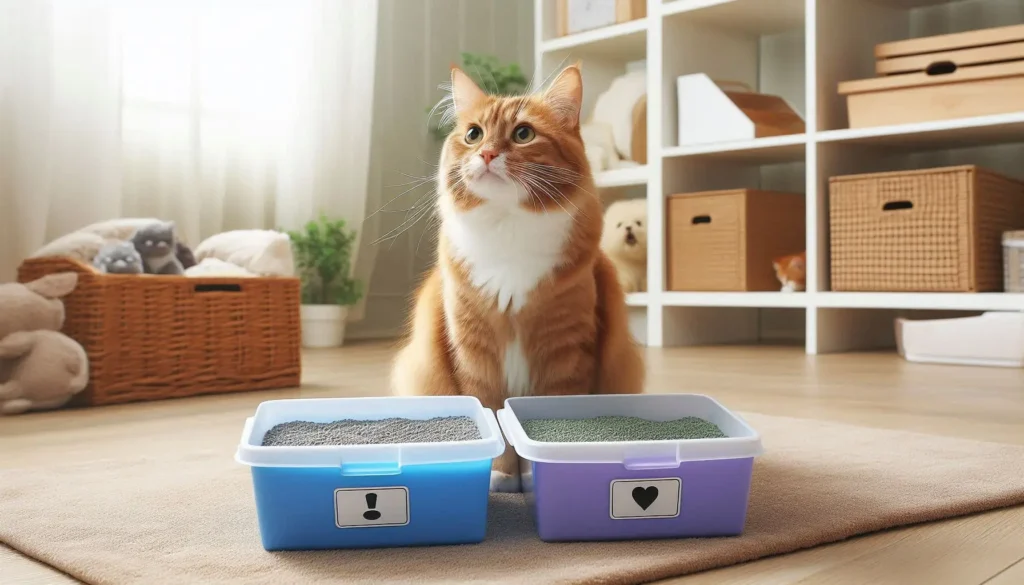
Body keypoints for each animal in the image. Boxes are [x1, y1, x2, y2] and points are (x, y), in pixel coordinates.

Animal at [393, 65, 647, 493]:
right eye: (473, 134)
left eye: (523, 134)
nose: (487, 153)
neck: (507, 228)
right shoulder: (473, 350)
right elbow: (491, 414)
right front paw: (501, 475)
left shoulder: (566, 349)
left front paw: (535, 475)